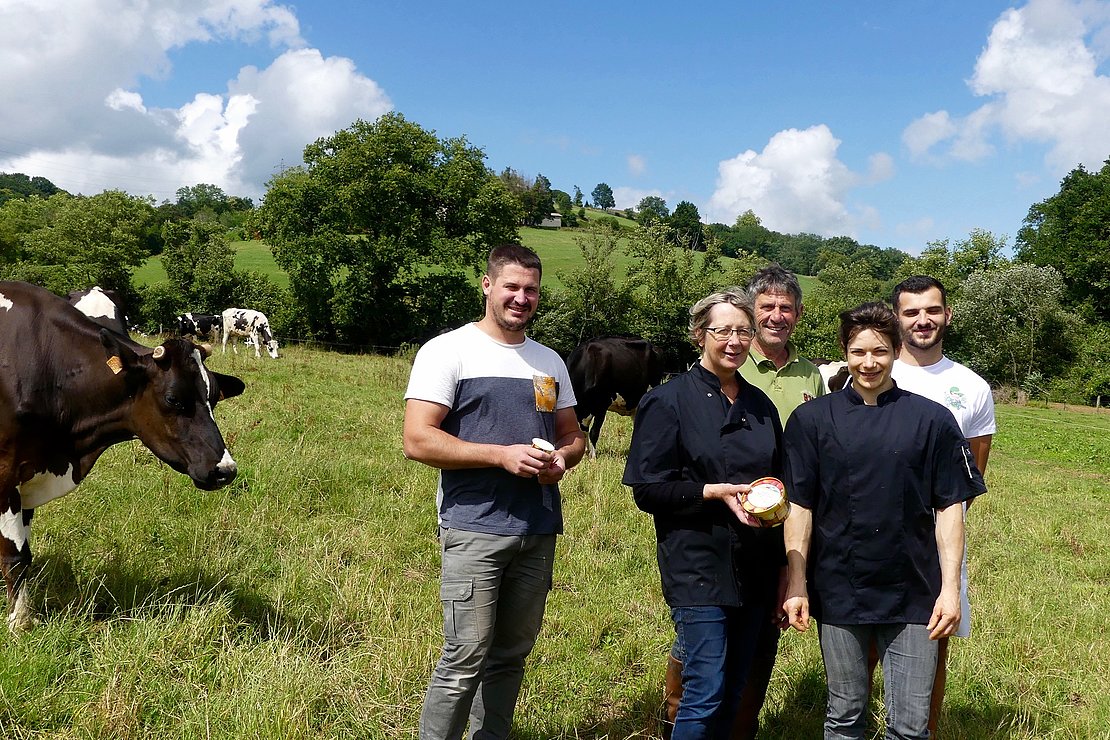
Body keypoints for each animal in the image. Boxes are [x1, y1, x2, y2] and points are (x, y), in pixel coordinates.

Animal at [0, 280, 245, 634]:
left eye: (213, 397)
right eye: (173, 398)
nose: (225, 469)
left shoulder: (31, 473)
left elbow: (25, 550)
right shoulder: (6, 473)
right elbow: (16, 557)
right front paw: (20, 624)